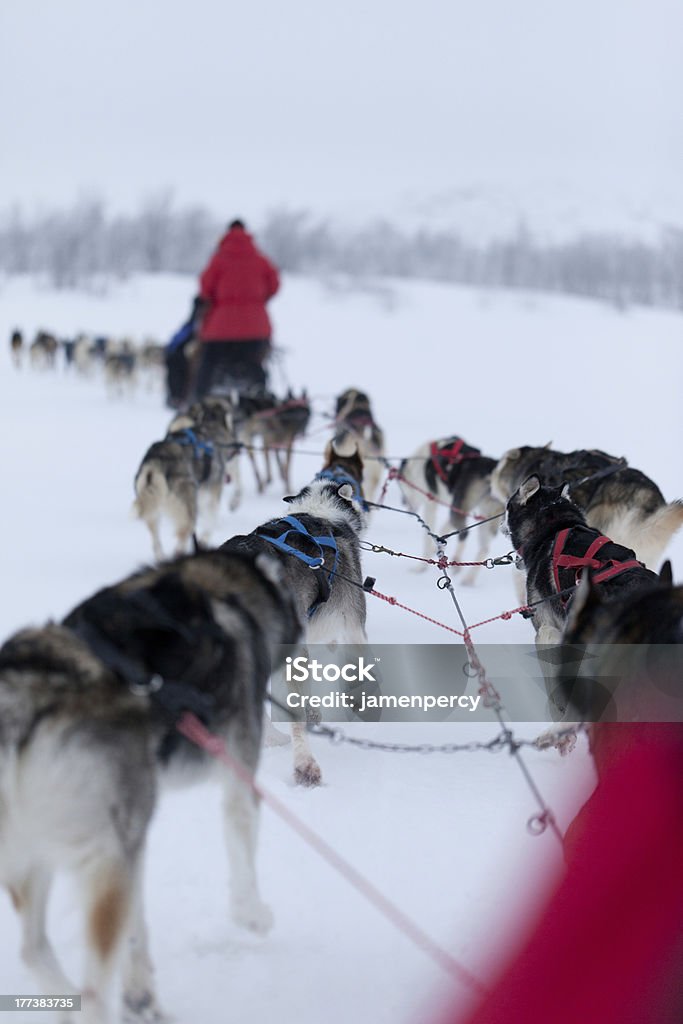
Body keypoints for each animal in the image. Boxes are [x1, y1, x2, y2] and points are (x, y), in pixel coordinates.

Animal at [134, 395, 240, 561]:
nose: (237, 450)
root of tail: (156, 462)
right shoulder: (213, 491)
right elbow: (211, 519)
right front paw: (205, 538)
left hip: (153, 509)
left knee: (157, 541)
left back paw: (162, 556)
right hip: (187, 506)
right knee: (184, 534)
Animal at [401, 432, 501, 581]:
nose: (403, 502)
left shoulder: (432, 505)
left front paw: (421, 566)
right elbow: (444, 529)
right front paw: (438, 545)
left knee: (465, 534)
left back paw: (457, 560)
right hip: (484, 515)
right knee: (484, 548)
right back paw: (468, 580)